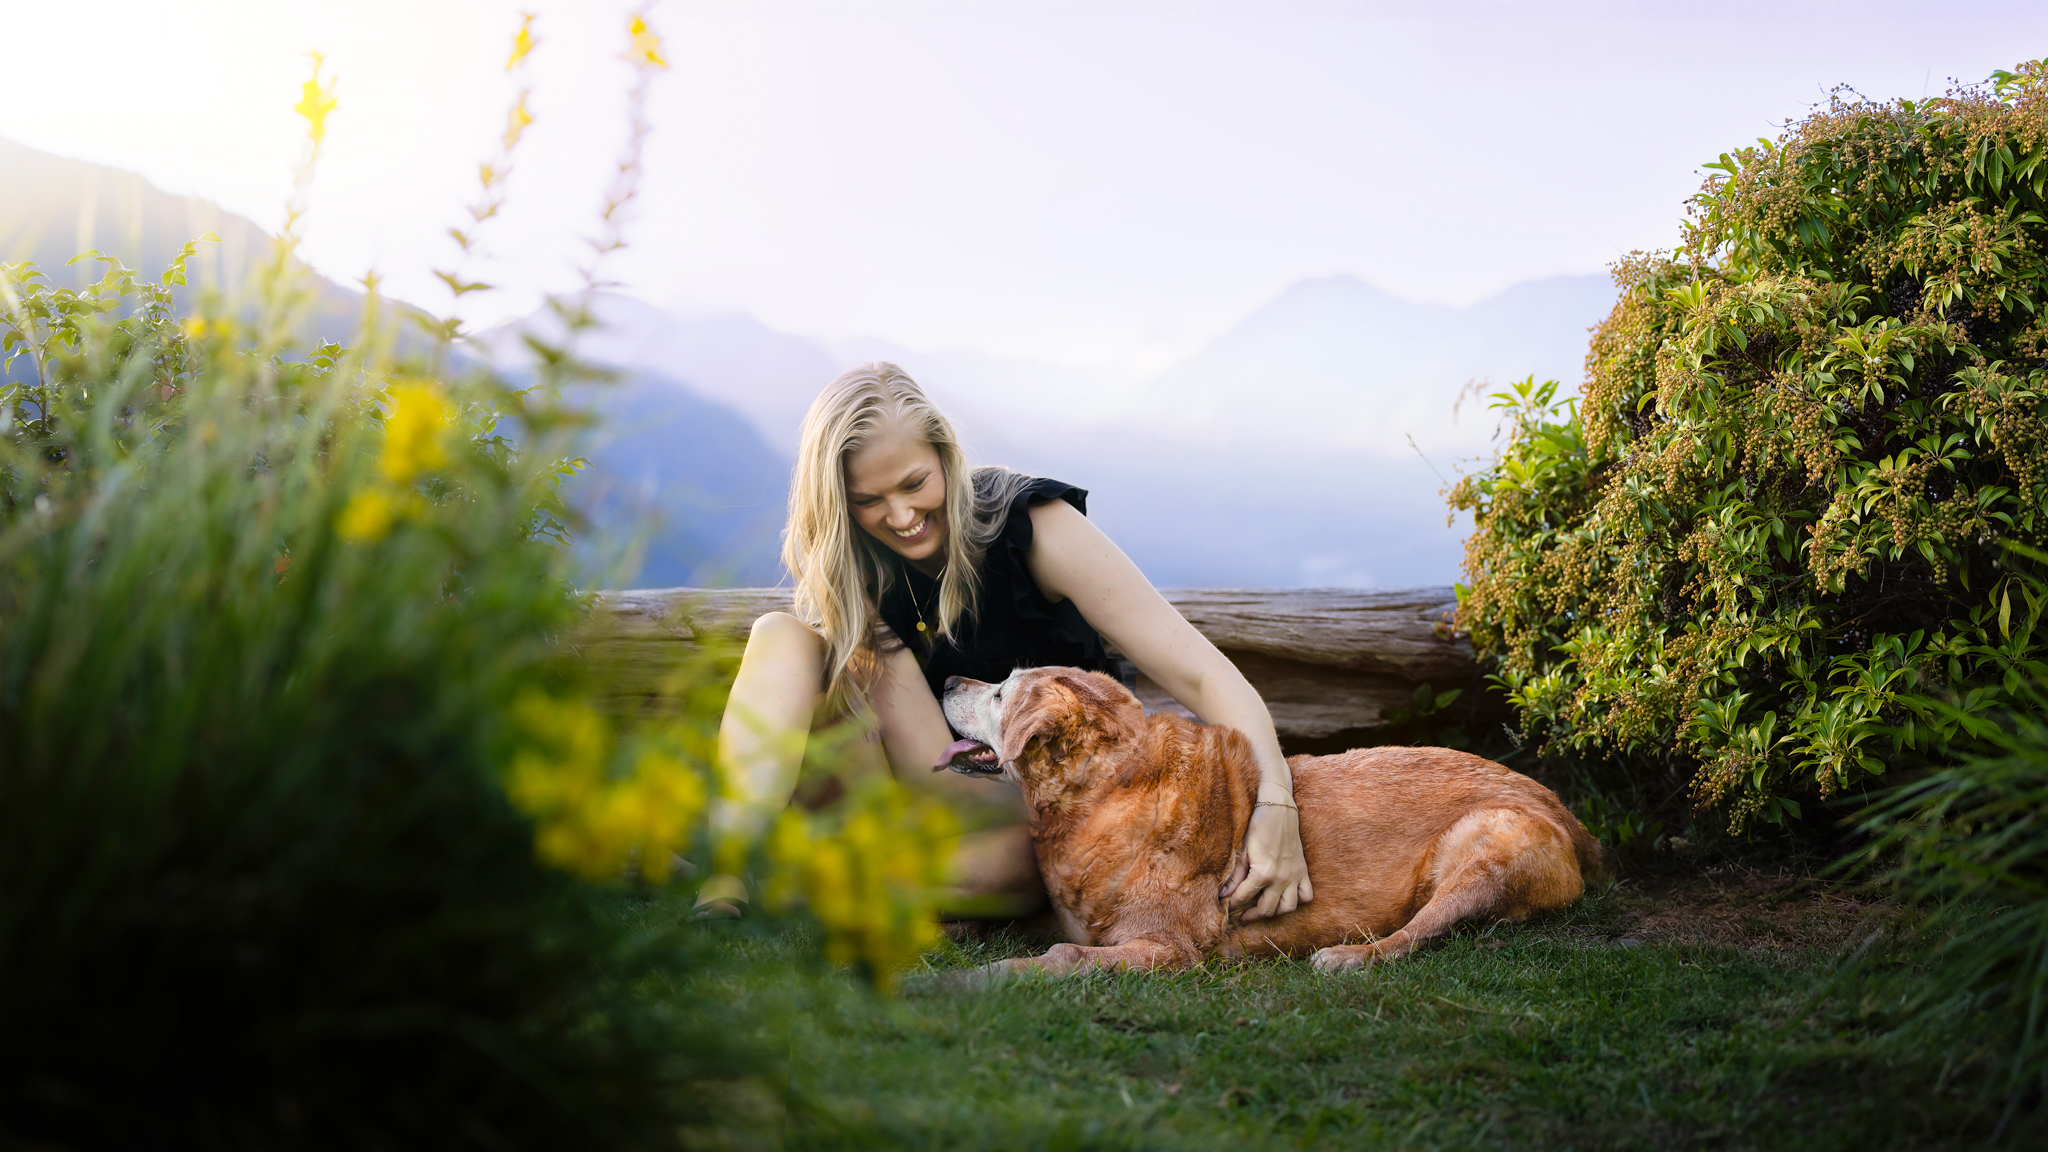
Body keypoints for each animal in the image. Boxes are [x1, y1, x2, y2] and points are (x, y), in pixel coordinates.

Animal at [937, 664, 1605, 967]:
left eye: (1000, 692)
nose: (945, 676)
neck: (1107, 795)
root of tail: (1573, 819)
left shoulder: (1167, 948)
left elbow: (1063, 956)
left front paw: (1000, 973)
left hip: (1489, 841)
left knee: (1421, 931)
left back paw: (1352, 956)